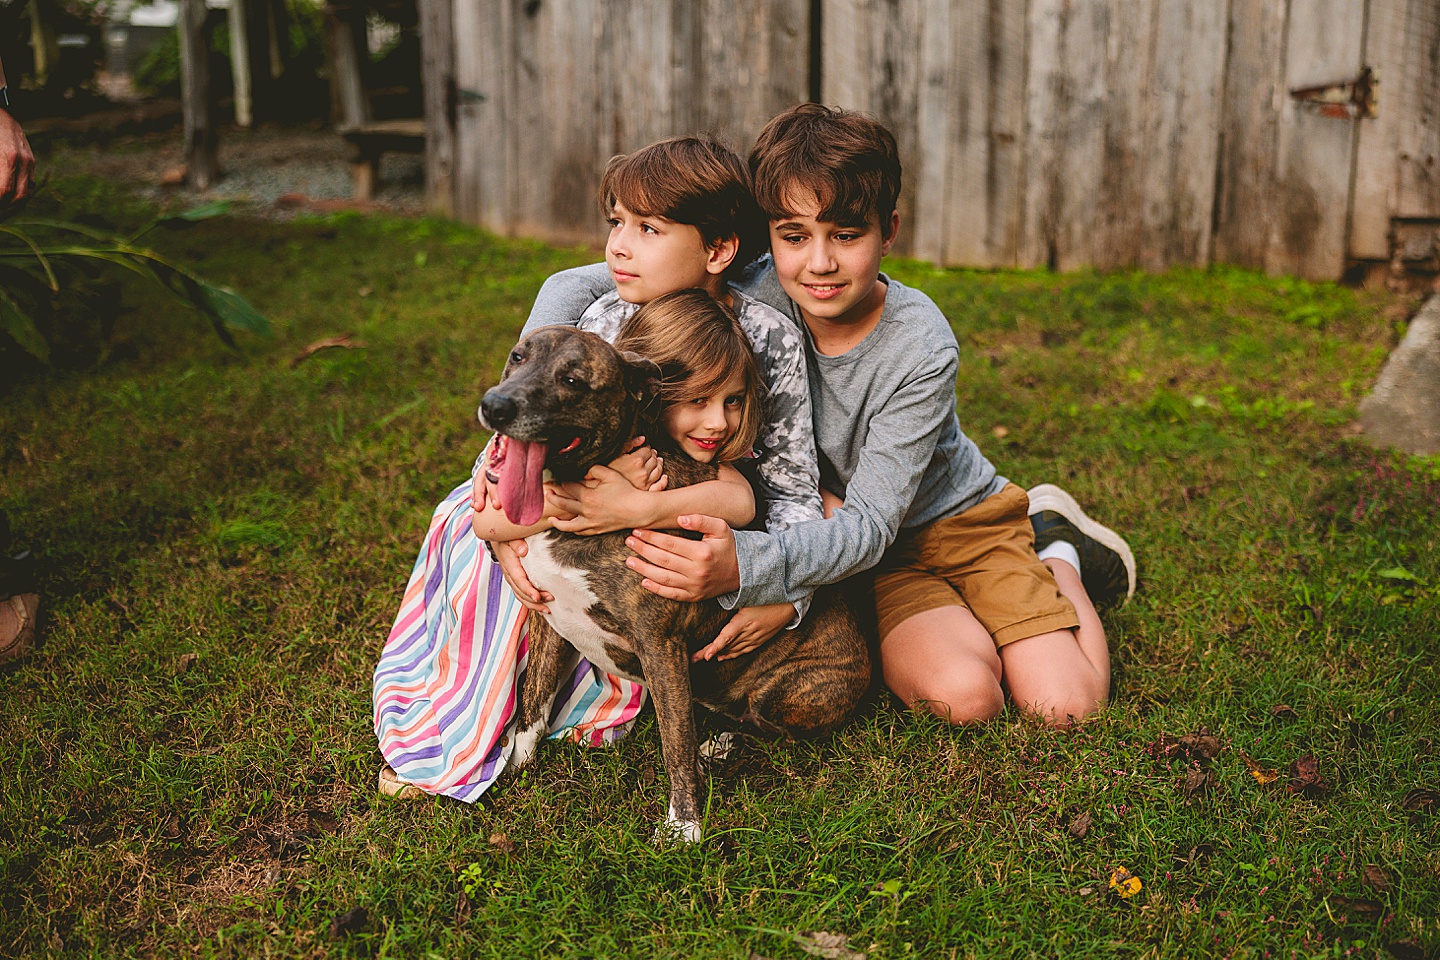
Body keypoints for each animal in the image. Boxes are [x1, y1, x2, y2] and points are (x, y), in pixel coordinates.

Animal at [480, 326, 864, 846]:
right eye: (517, 357)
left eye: (574, 380)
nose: (495, 405)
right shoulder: (546, 615)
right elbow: (533, 702)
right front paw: (515, 764)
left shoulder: (660, 644)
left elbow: (674, 744)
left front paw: (684, 824)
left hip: (796, 691)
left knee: (771, 731)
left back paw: (721, 745)